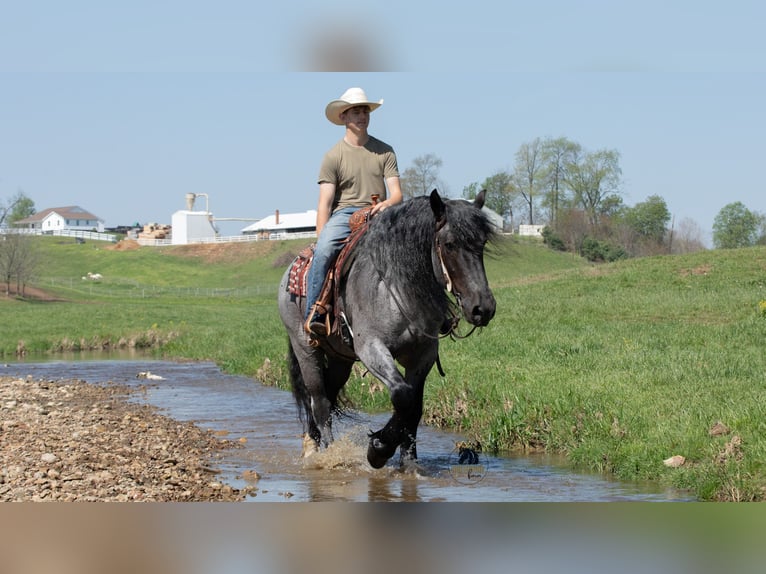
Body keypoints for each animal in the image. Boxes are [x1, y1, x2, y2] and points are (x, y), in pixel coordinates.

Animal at [277, 189, 496, 469]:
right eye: (449, 244)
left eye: (482, 243)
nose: (483, 309)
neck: (397, 287)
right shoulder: (372, 348)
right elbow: (403, 396)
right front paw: (379, 449)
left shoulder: (423, 355)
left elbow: (414, 406)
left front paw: (408, 461)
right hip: (306, 349)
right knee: (320, 401)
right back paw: (328, 452)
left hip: (340, 359)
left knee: (330, 391)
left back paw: (312, 442)